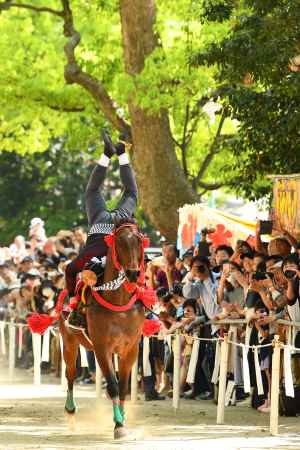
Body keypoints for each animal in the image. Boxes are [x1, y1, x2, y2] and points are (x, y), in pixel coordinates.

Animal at [58, 221, 147, 440]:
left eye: (139, 241)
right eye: (120, 242)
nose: (133, 273)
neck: (119, 301)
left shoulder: (130, 349)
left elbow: (122, 387)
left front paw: (121, 421)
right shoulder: (101, 348)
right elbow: (114, 385)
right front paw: (119, 426)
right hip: (69, 342)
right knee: (70, 374)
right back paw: (70, 412)